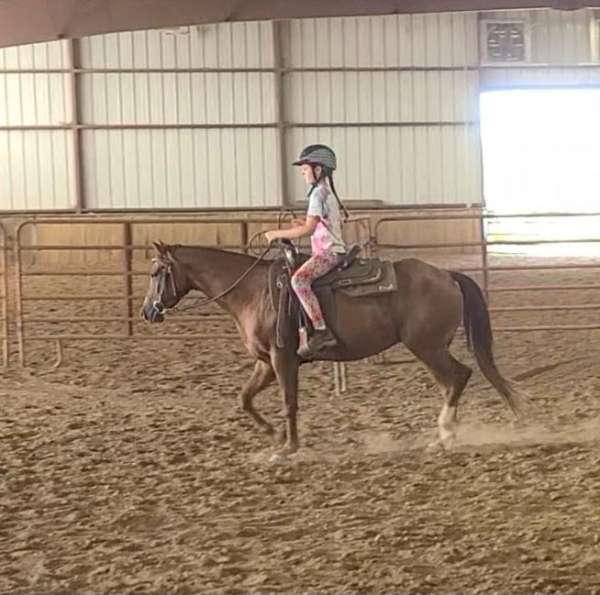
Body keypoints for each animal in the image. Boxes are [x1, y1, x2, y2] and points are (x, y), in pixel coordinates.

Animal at [142, 242, 524, 456]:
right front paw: (274, 435)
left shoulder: (282, 359)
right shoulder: (266, 362)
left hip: (426, 346)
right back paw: (444, 435)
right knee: (453, 381)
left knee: (459, 376)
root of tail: (446, 275)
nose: (148, 311)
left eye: (157, 272)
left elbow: (289, 402)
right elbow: (244, 399)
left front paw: (288, 448)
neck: (252, 292)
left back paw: (445, 433)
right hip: (429, 347)